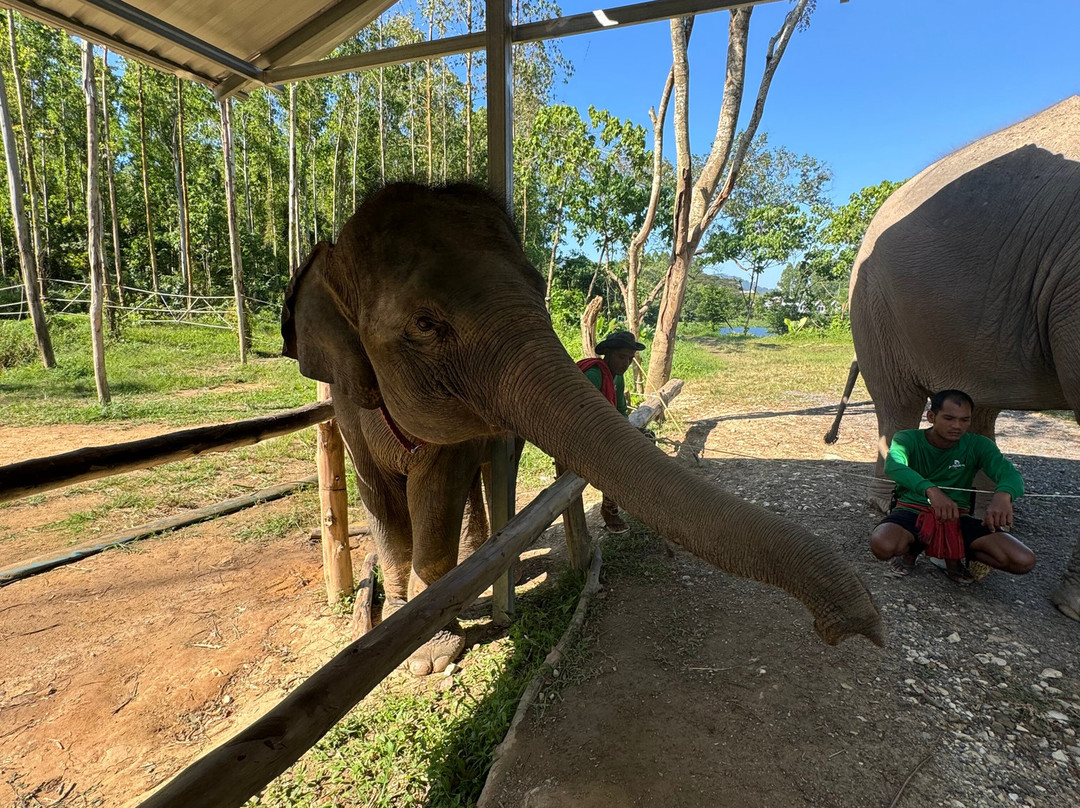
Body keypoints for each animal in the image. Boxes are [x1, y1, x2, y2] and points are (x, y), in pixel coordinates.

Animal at [282, 181, 883, 669]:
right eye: (425, 324)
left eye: (537, 289)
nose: (859, 628)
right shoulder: (346, 404)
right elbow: (383, 509)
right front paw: (415, 644)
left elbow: (435, 503)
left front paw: (434, 643)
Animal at [824, 96, 1080, 619]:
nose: (829, 437)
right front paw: (1071, 608)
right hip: (875, 304)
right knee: (897, 402)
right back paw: (887, 507)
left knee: (978, 408)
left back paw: (990, 518)